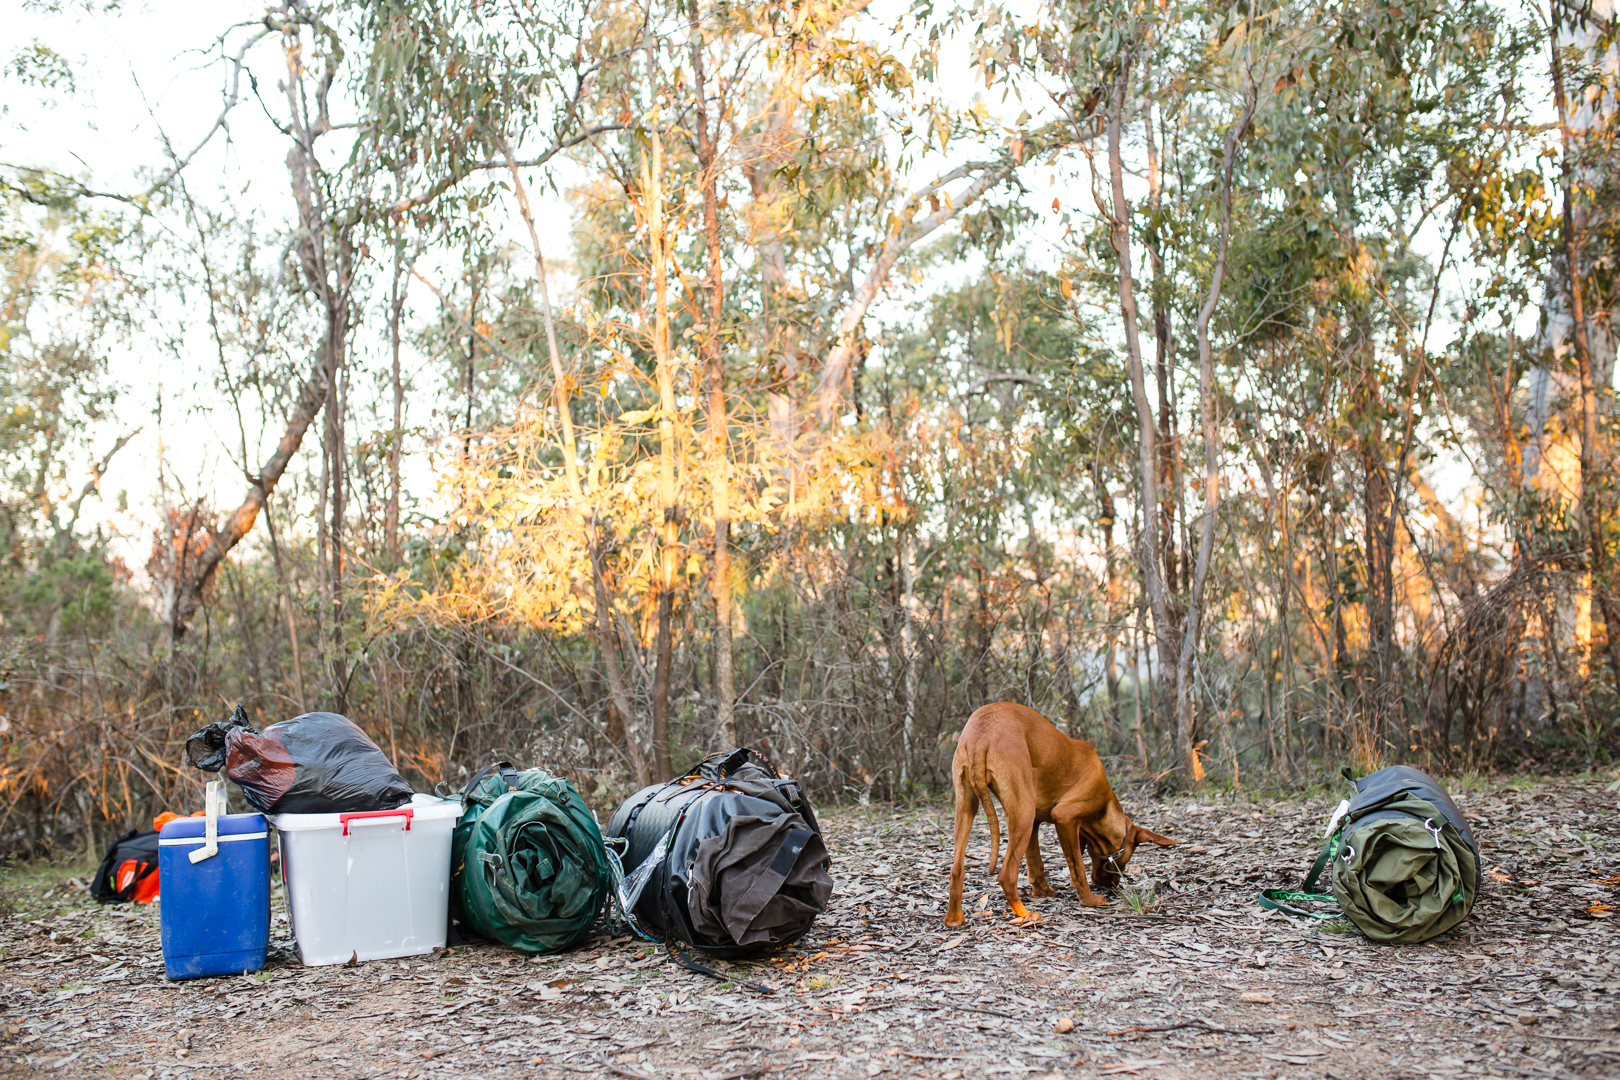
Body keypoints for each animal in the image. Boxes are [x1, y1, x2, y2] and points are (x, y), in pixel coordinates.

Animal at [939, 705, 1179, 926]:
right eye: (1125, 860)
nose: (1112, 887)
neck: (1106, 806)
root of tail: (981, 735)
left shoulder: (1036, 823)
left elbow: (1036, 862)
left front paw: (1042, 891)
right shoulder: (1064, 817)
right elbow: (1077, 866)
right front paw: (1090, 900)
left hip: (969, 807)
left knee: (956, 869)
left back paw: (954, 919)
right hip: (1022, 813)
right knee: (1006, 875)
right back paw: (1026, 915)